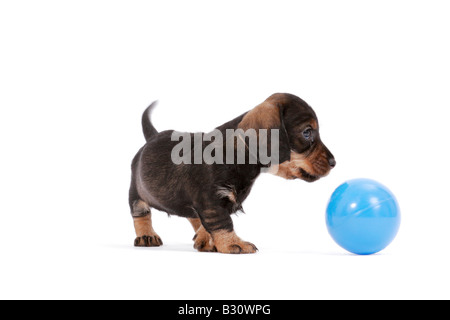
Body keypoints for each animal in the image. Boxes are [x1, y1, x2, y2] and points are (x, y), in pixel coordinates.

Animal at [128, 94, 336, 254]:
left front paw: (206, 241)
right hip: (136, 193)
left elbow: (207, 224)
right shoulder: (211, 202)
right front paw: (233, 243)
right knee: (141, 214)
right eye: (307, 133)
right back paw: (147, 235)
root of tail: (152, 138)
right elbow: (223, 223)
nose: (334, 162)